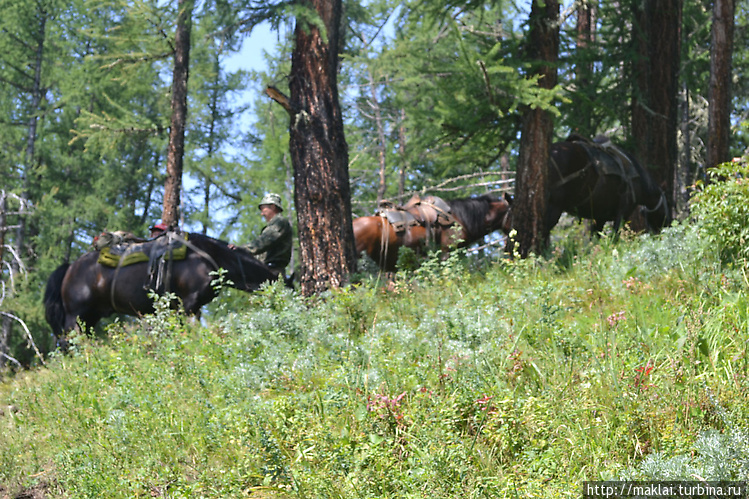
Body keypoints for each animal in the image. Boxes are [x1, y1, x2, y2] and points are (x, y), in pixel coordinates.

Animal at [540, 134, 668, 241]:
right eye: (666, 207)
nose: (664, 229)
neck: (639, 180)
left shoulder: (600, 218)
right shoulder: (622, 214)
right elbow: (614, 239)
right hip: (555, 207)